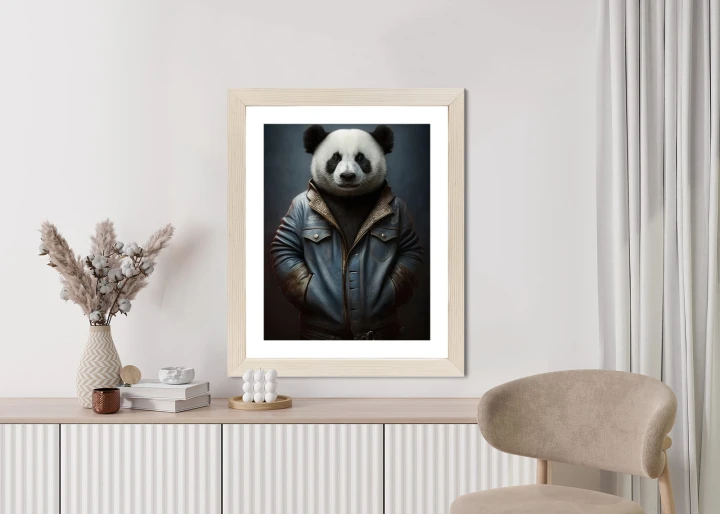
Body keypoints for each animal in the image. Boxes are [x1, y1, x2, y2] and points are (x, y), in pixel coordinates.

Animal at [269, 124, 423, 340]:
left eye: (360, 158)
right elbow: (285, 244)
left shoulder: (399, 207)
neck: (349, 197)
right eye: (335, 158)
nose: (348, 176)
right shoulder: (296, 205)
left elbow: (409, 247)